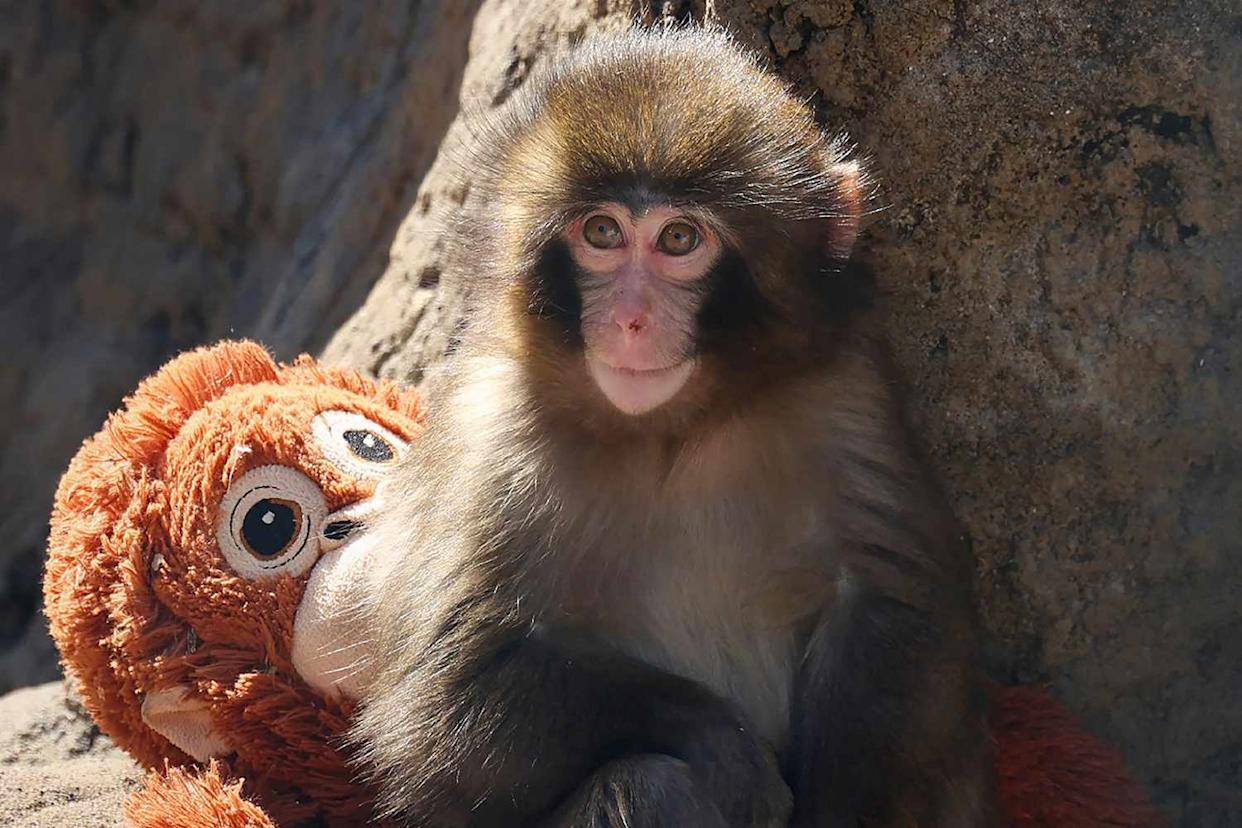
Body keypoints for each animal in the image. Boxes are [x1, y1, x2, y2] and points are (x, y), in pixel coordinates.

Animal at [351, 26, 997, 828]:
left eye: (680, 240)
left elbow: (894, 610)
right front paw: (723, 744)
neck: (672, 431)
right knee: (648, 785)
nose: (631, 319)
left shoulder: (847, 393)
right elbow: (448, 700)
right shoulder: (493, 434)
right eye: (602, 232)